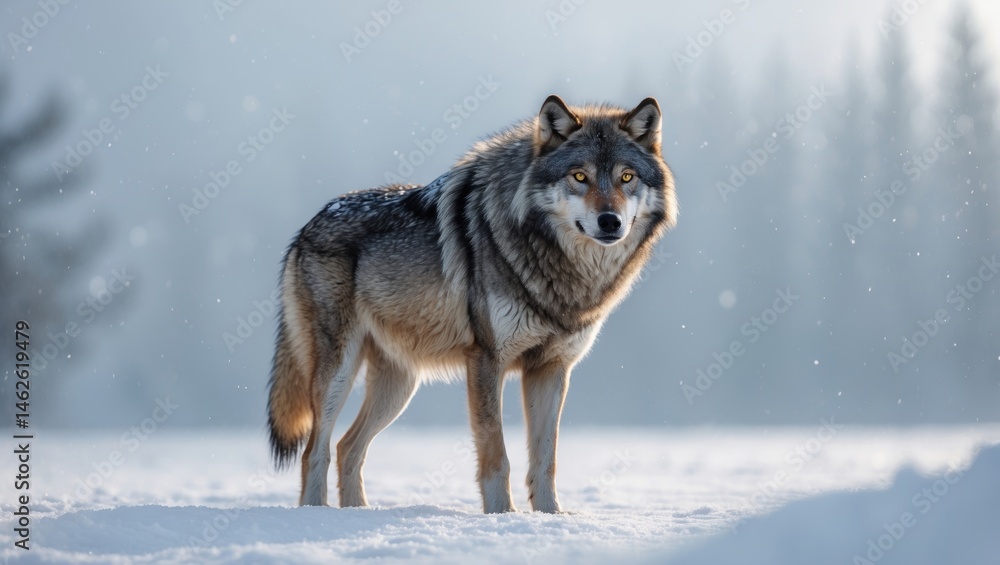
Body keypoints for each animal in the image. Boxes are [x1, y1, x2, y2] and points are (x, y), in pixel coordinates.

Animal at [266, 95, 677, 513]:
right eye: (580, 177)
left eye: (626, 178)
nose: (610, 221)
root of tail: (306, 227)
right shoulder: (485, 360)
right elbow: (497, 455)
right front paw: (501, 516)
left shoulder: (551, 369)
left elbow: (546, 458)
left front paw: (550, 516)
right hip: (339, 373)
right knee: (315, 451)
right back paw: (316, 515)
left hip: (399, 387)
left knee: (348, 447)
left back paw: (358, 514)